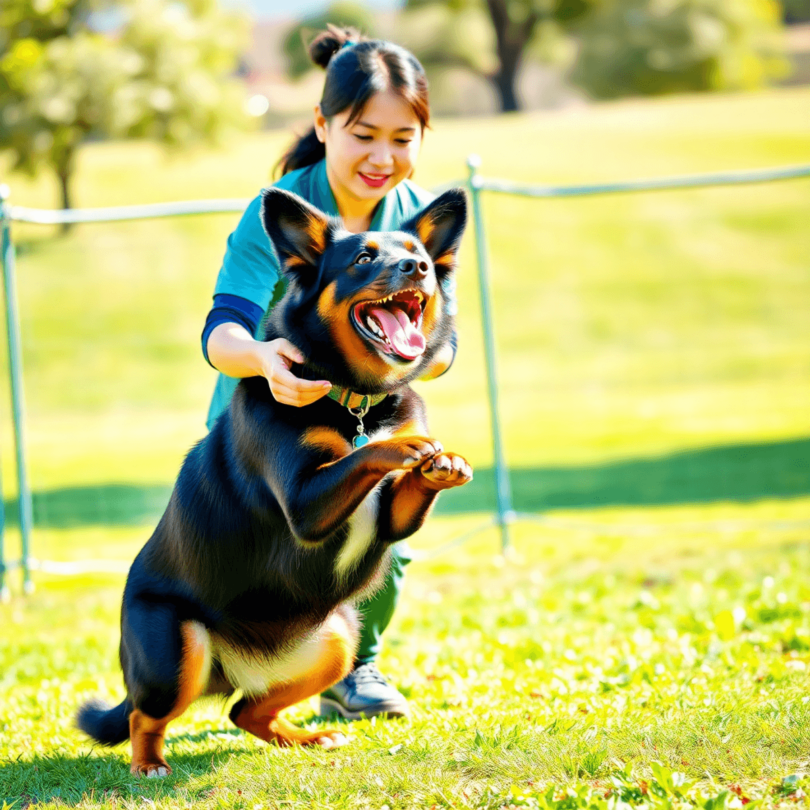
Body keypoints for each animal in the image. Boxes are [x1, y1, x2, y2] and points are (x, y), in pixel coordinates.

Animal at [78, 186, 470, 772]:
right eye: (363, 258)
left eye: (417, 254)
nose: (418, 268)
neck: (357, 402)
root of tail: (237, 662)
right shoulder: (306, 506)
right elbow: (361, 456)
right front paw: (403, 448)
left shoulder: (388, 519)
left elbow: (405, 487)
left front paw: (444, 465)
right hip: (177, 648)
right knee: (143, 717)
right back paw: (149, 763)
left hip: (337, 637)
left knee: (245, 710)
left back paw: (307, 737)